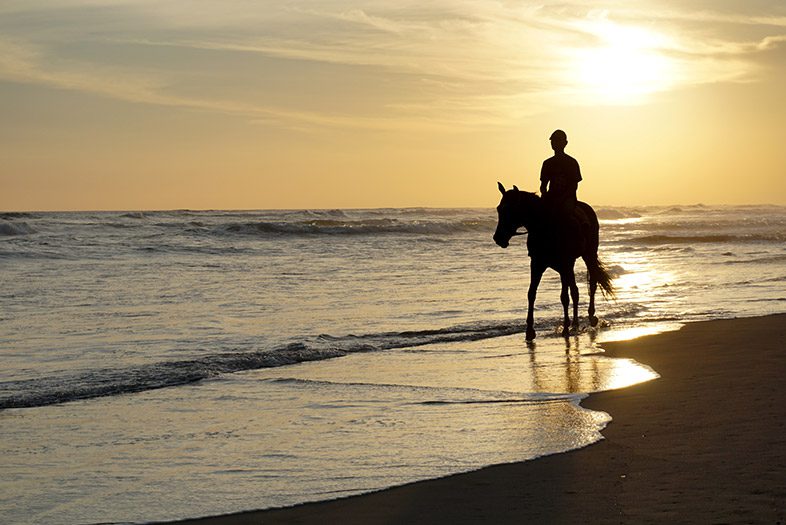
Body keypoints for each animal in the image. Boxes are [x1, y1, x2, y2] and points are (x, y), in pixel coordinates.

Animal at [490, 182, 612, 342]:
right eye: (499, 208)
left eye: (510, 209)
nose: (498, 238)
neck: (544, 227)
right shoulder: (537, 264)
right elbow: (532, 294)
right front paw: (530, 331)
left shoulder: (564, 263)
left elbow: (564, 297)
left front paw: (565, 328)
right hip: (568, 266)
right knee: (575, 290)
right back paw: (575, 324)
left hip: (588, 255)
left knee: (591, 283)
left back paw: (591, 317)